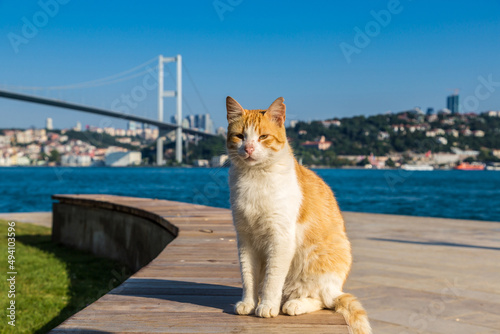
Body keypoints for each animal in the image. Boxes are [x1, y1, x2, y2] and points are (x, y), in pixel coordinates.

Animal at [227, 96, 372, 334]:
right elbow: (248, 276)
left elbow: (272, 279)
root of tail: (337, 286)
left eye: (263, 137)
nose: (248, 148)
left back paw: (295, 304)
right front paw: (248, 303)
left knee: (324, 300)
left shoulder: (281, 238)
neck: (254, 178)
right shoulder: (245, 238)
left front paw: (267, 305)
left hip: (316, 263)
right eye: (239, 136)